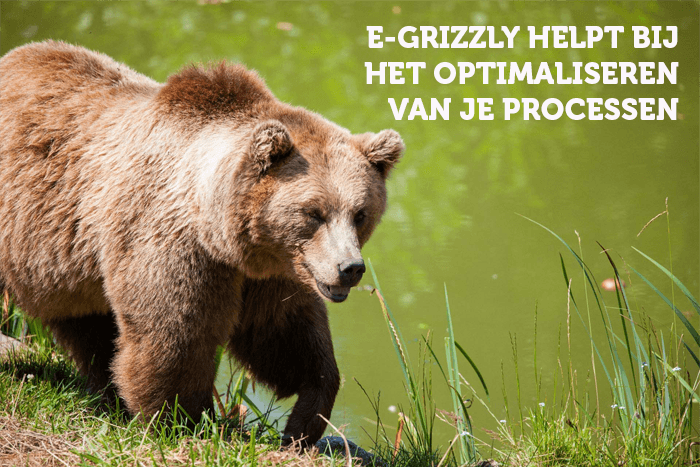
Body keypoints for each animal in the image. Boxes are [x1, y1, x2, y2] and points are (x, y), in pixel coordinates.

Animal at [0, 40, 403, 446]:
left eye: (360, 213)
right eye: (313, 212)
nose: (349, 268)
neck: (220, 230)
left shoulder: (272, 271)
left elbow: (284, 334)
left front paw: (304, 420)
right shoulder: (172, 242)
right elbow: (174, 335)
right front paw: (183, 421)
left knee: (85, 323)